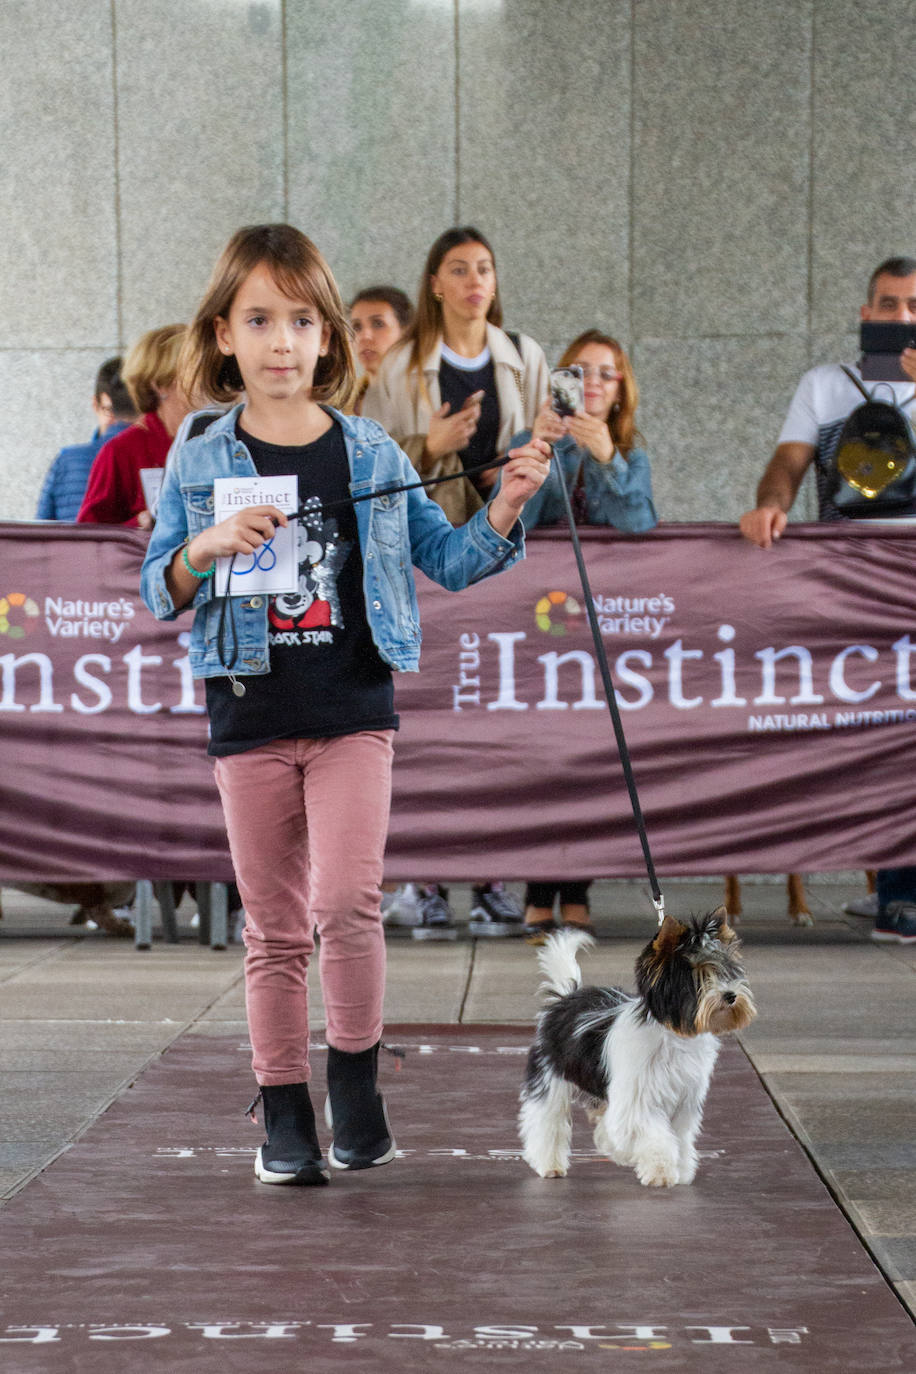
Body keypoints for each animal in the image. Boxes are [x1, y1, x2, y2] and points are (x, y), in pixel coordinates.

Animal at [519, 906, 758, 1187]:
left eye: (727, 972)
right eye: (698, 976)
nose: (730, 996)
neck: (674, 1035)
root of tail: (564, 998)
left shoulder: (684, 1101)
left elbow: (680, 1137)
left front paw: (681, 1168)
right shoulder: (638, 1099)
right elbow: (656, 1135)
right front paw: (660, 1170)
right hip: (551, 1076)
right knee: (547, 1120)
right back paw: (550, 1164)